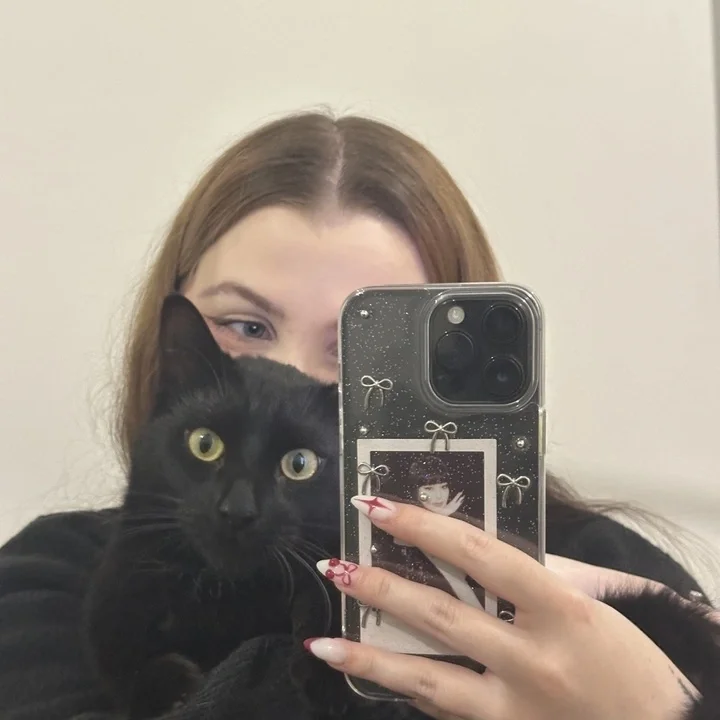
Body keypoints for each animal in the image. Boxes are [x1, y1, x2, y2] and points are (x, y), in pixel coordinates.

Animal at [84, 294, 348, 719]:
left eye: (299, 463)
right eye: (204, 443)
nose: (238, 510)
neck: (222, 594)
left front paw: (332, 671)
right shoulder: (113, 598)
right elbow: (122, 669)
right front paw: (167, 687)